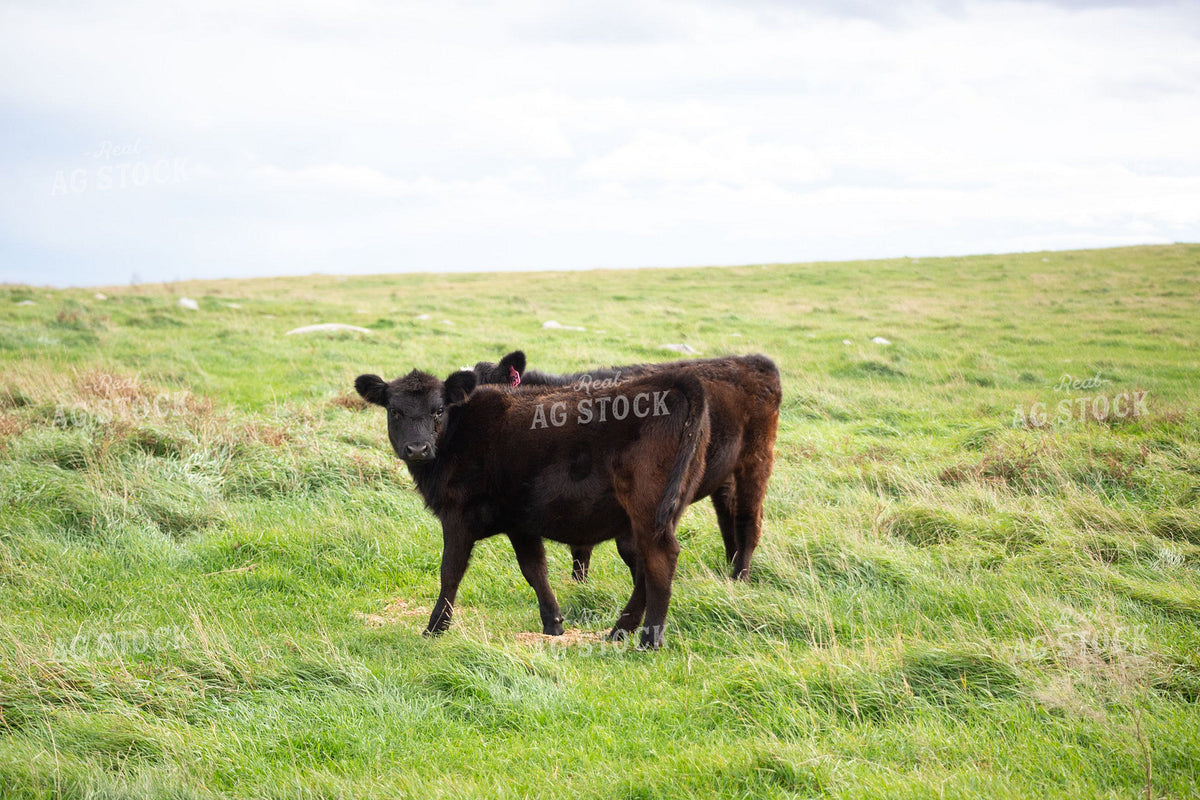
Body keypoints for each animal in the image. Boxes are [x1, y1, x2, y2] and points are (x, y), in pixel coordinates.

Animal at [354, 367, 710, 649]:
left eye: (438, 410)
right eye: (394, 411)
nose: (417, 448)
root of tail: (673, 381)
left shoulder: (457, 517)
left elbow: (450, 573)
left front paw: (434, 628)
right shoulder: (520, 524)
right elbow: (534, 569)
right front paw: (553, 623)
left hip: (648, 510)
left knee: (659, 561)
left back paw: (649, 639)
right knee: (644, 570)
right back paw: (620, 631)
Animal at [473, 351, 781, 583]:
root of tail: (753, 360)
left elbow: (629, 550)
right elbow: (580, 546)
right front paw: (579, 585)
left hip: (755, 458)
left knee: (748, 519)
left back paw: (740, 576)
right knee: (727, 515)